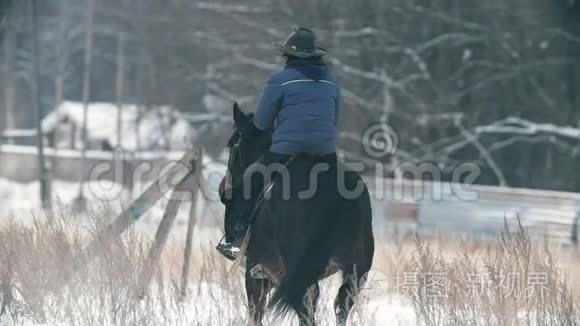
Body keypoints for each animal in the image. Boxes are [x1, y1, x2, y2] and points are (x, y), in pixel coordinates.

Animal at [220, 104, 374, 326]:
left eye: (232, 144)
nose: (224, 186)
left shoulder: (256, 271)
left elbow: (255, 312)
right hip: (355, 272)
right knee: (340, 306)